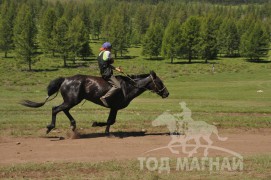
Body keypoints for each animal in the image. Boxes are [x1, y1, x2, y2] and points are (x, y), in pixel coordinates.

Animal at [21, 70, 169, 135]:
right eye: (160, 82)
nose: (167, 93)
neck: (128, 87)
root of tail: (65, 79)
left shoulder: (113, 108)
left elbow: (111, 121)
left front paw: (105, 130)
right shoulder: (114, 107)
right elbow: (110, 121)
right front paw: (97, 125)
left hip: (71, 101)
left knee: (63, 110)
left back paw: (73, 125)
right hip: (72, 100)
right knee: (55, 109)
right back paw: (50, 127)